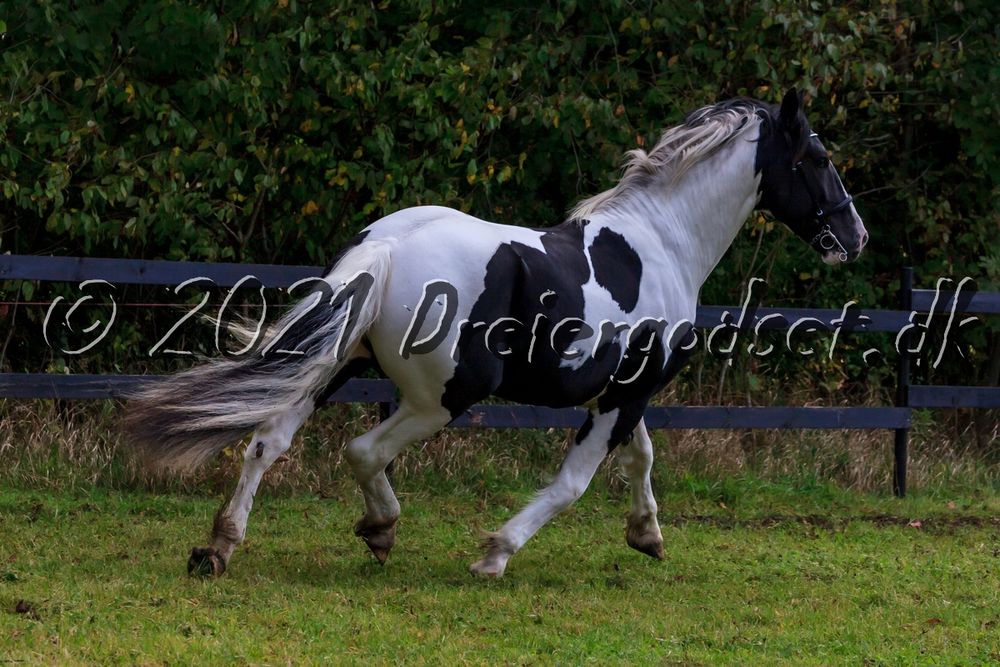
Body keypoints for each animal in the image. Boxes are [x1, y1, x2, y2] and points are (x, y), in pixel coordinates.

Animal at [125, 89, 868, 578]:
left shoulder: (623, 396)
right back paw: (380, 529)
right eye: (817, 156)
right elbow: (574, 482)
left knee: (267, 441)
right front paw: (495, 553)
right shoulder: (624, 395)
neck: (660, 242)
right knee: (363, 451)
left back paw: (218, 548)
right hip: (441, 397)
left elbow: (642, 458)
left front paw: (648, 536)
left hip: (337, 362)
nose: (854, 236)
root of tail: (387, 247)